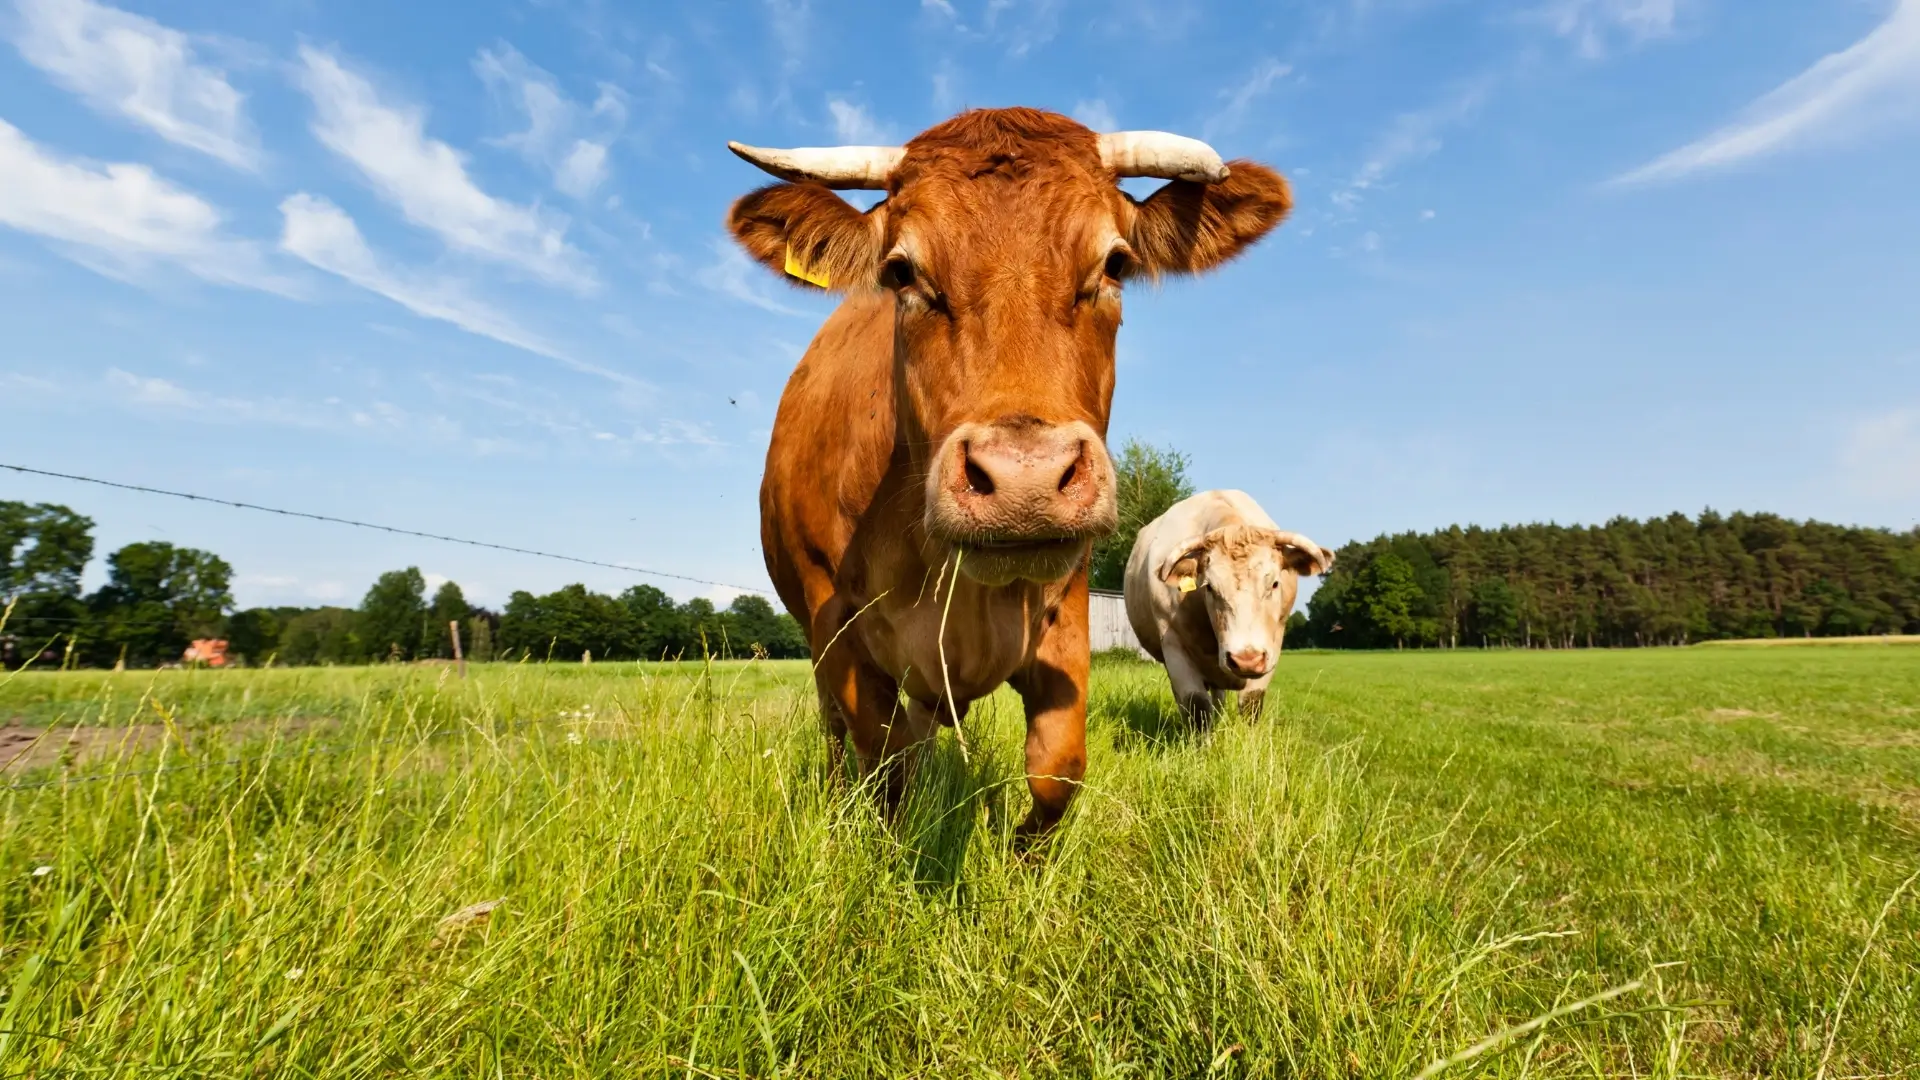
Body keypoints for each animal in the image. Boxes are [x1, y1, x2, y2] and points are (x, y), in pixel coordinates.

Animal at [728, 108, 1294, 841]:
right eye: (901, 271)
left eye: (1115, 263)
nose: (1025, 481)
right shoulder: (838, 626)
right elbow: (882, 765)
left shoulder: (1066, 607)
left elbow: (1057, 770)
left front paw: (1019, 850)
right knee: (841, 736)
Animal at [1124, 490, 1333, 727]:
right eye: (1209, 587)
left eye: (1274, 583)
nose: (1246, 659)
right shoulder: (1174, 647)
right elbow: (1196, 706)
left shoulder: (1271, 648)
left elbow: (1251, 703)